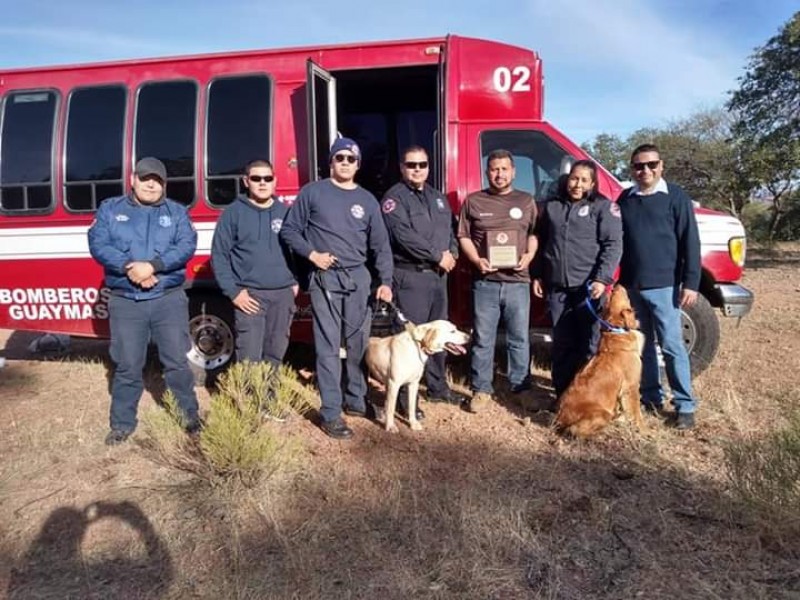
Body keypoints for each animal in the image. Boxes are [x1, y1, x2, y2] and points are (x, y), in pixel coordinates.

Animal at [556, 284, 648, 438]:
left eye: (611, 296)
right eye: (615, 293)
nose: (616, 285)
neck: (616, 330)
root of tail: (559, 420)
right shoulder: (631, 386)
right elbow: (636, 412)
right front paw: (643, 430)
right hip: (602, 413)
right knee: (575, 430)